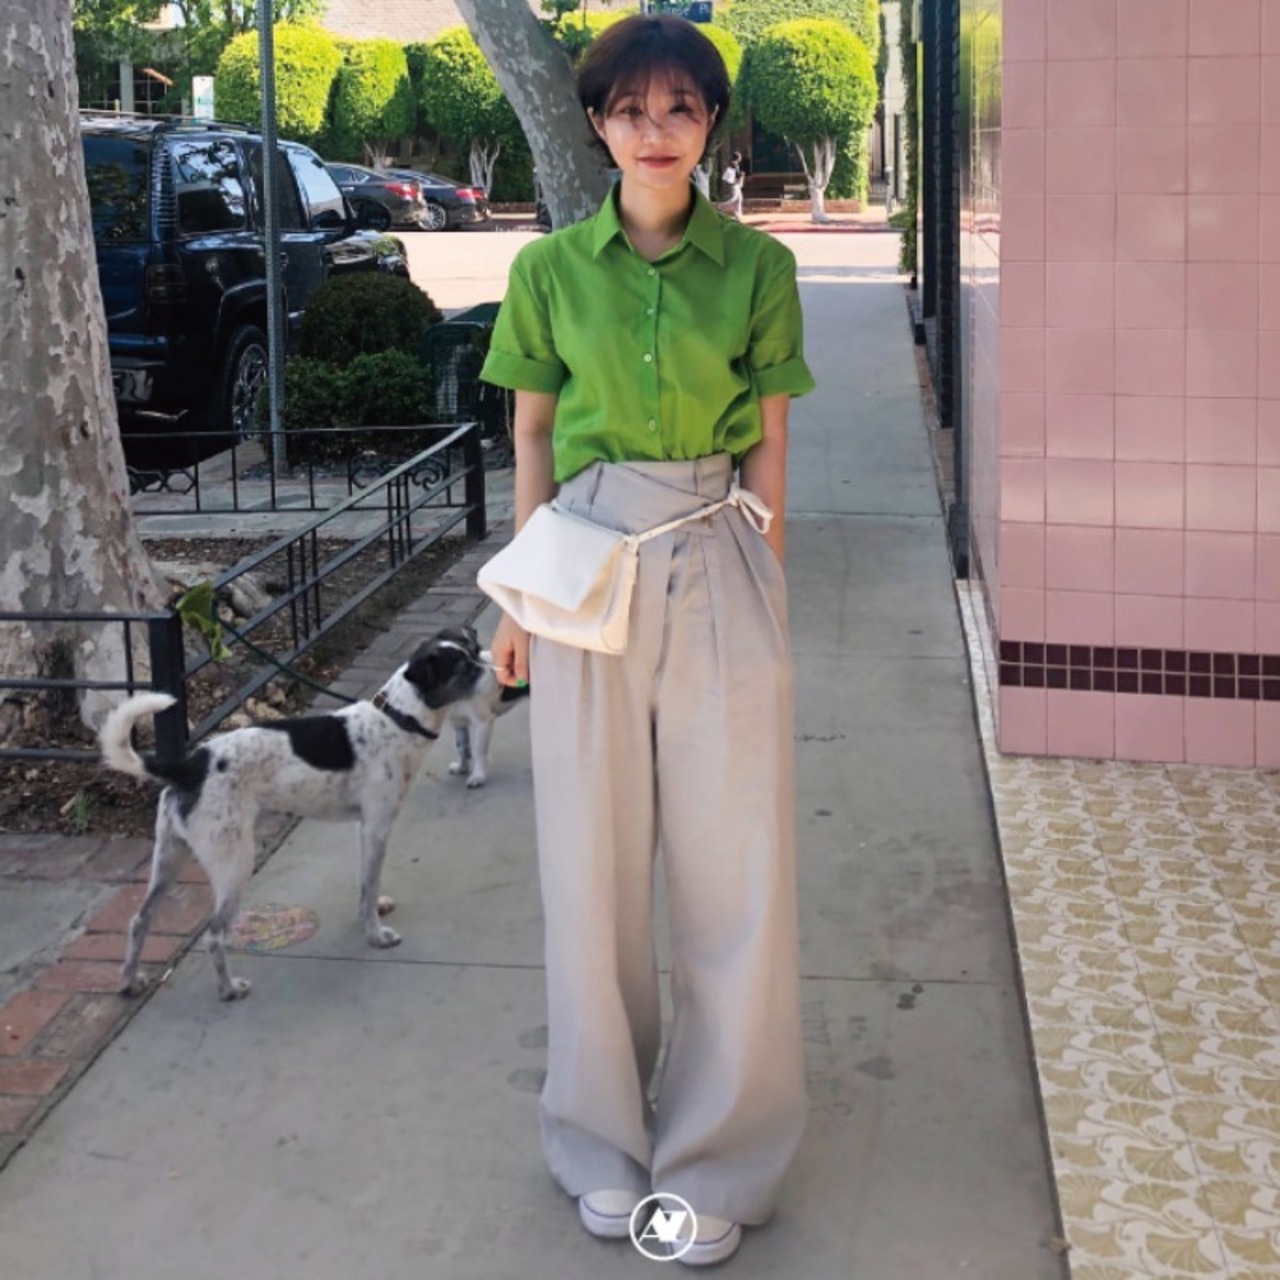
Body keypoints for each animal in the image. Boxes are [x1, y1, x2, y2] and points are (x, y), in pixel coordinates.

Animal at [98, 626, 486, 1001]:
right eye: (463, 668)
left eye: (474, 650)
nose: (492, 668)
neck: (398, 719)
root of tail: (188, 767)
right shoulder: (377, 828)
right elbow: (370, 881)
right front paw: (376, 936)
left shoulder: (364, 829)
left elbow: (366, 884)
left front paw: (372, 912)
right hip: (234, 862)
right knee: (214, 934)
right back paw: (228, 989)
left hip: (169, 858)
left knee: (140, 920)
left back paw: (129, 982)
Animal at [448, 651, 529, 788]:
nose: (495, 673)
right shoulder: (458, 722)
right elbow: (461, 747)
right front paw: (461, 768)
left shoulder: (483, 723)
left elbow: (478, 751)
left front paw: (478, 776)